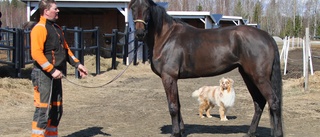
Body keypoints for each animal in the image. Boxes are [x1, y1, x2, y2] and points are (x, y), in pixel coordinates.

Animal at [127, 0, 282, 136]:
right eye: (133, 8)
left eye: (147, 8)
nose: (139, 33)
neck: (166, 37)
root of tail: (267, 36)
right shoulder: (173, 79)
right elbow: (178, 105)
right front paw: (181, 131)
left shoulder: (168, 78)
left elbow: (173, 107)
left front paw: (175, 133)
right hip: (248, 75)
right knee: (259, 102)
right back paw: (250, 132)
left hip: (259, 77)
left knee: (273, 102)